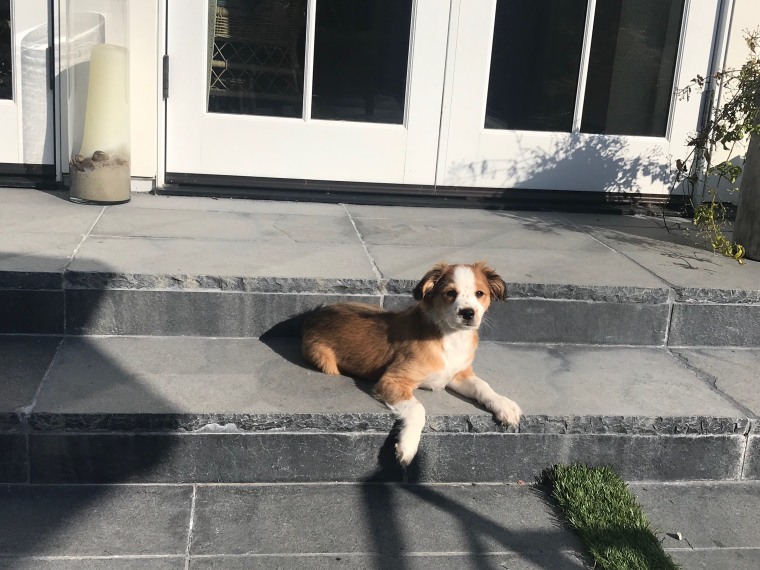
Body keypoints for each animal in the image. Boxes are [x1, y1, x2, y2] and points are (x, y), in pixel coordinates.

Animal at [302, 260, 524, 464]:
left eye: (480, 293)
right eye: (450, 293)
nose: (468, 313)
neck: (450, 337)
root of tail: (314, 315)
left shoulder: (458, 374)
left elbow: (482, 386)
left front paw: (505, 405)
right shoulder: (393, 379)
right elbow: (418, 409)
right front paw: (407, 446)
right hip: (325, 360)